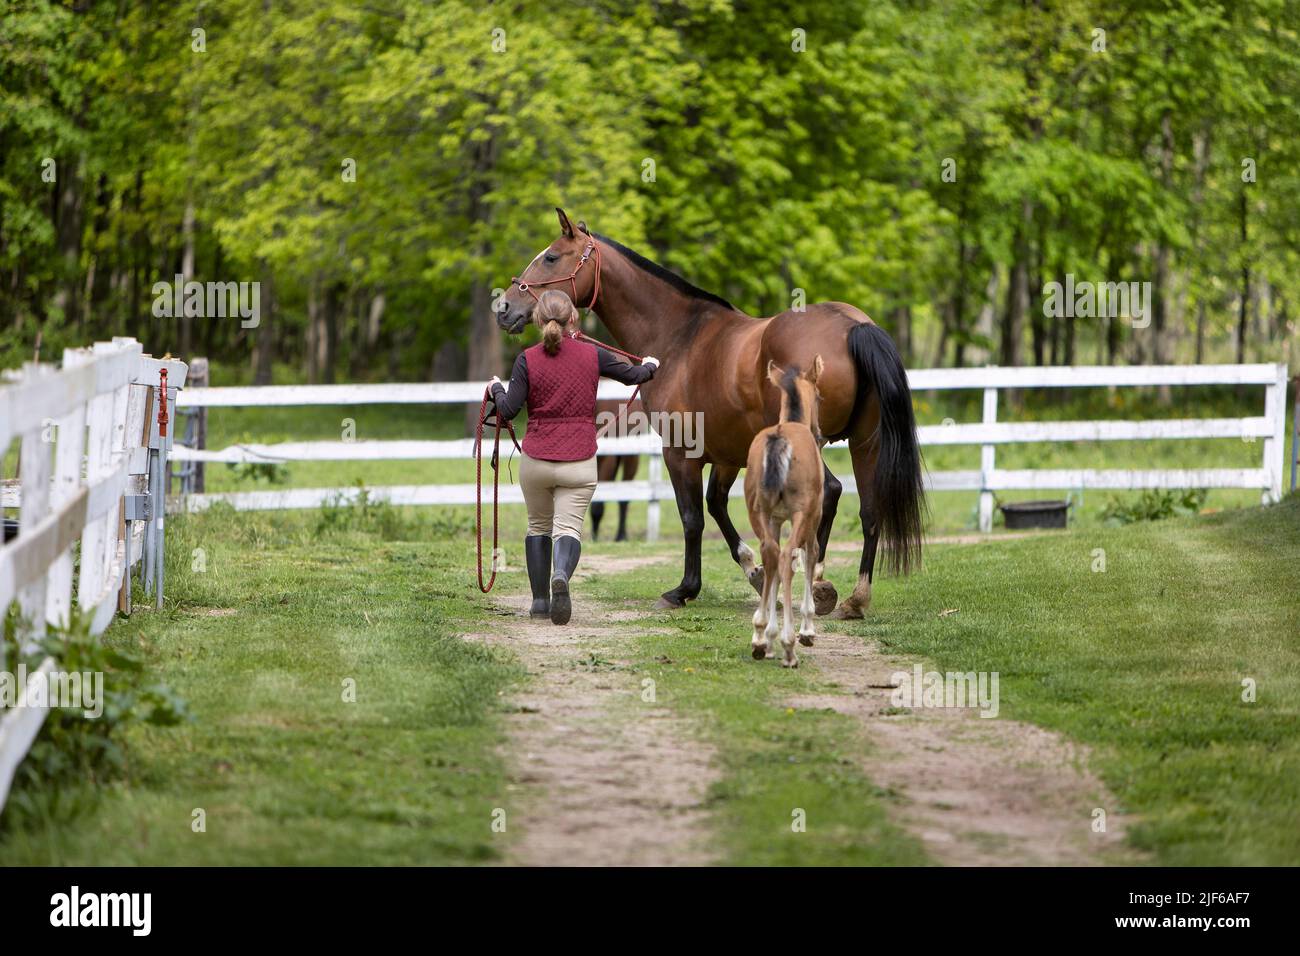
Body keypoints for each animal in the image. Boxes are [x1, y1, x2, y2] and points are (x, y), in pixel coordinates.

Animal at [745, 357, 825, 667]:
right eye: (819, 396)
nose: (820, 433)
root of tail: (780, 438)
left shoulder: (776, 520)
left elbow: (774, 570)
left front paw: (767, 637)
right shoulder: (813, 517)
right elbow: (809, 556)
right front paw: (807, 630)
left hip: (759, 512)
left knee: (771, 553)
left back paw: (759, 637)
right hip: (802, 514)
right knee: (787, 555)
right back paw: (789, 645)